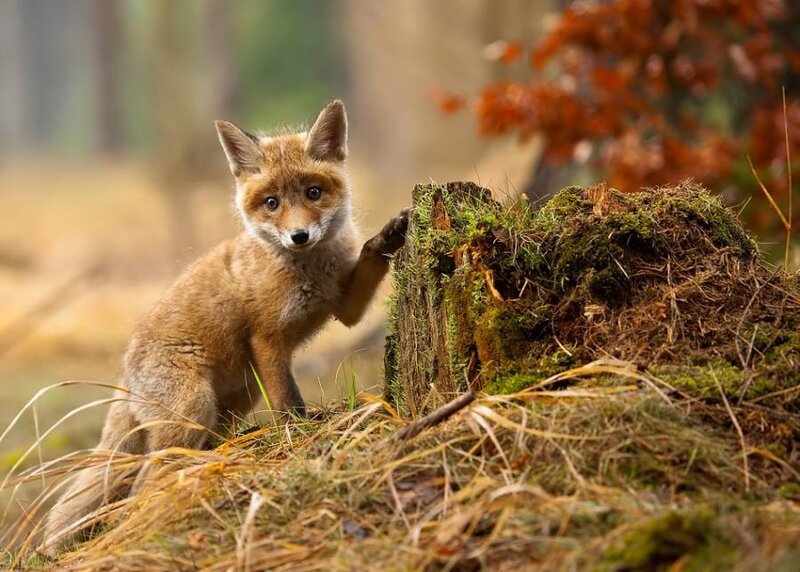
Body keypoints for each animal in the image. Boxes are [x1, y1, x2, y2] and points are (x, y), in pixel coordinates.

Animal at [41, 100, 409, 554]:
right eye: (271, 202)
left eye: (313, 193)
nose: (299, 235)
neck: (308, 271)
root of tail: (125, 377)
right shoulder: (266, 339)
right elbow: (288, 403)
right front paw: (300, 434)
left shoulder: (344, 308)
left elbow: (369, 262)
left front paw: (388, 237)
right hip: (192, 408)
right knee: (142, 482)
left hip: (231, 406)